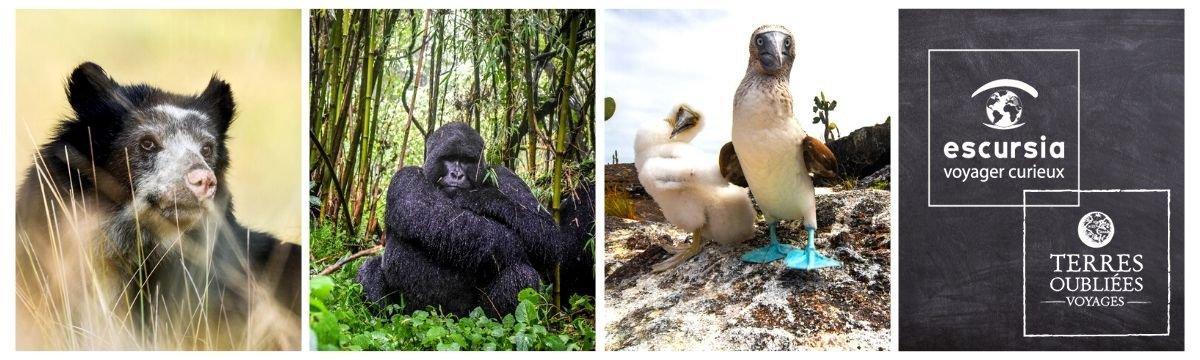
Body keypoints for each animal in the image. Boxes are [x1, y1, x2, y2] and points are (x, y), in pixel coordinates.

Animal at [352, 122, 564, 316]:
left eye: (466, 160)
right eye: (449, 159)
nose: (456, 174)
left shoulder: (506, 176)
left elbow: (548, 236)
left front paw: (483, 197)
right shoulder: (405, 177)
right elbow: (437, 218)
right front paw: (513, 245)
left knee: (521, 275)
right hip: (411, 312)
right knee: (370, 268)